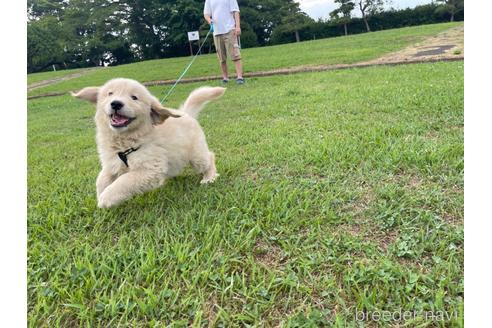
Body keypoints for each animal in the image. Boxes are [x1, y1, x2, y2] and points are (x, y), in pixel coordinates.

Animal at [71, 77, 225, 208]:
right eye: (110, 94)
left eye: (134, 97)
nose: (115, 103)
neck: (126, 143)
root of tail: (186, 113)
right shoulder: (112, 162)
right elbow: (101, 178)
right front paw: (100, 193)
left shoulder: (150, 169)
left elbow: (125, 180)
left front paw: (106, 198)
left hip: (197, 156)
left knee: (210, 157)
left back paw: (209, 177)